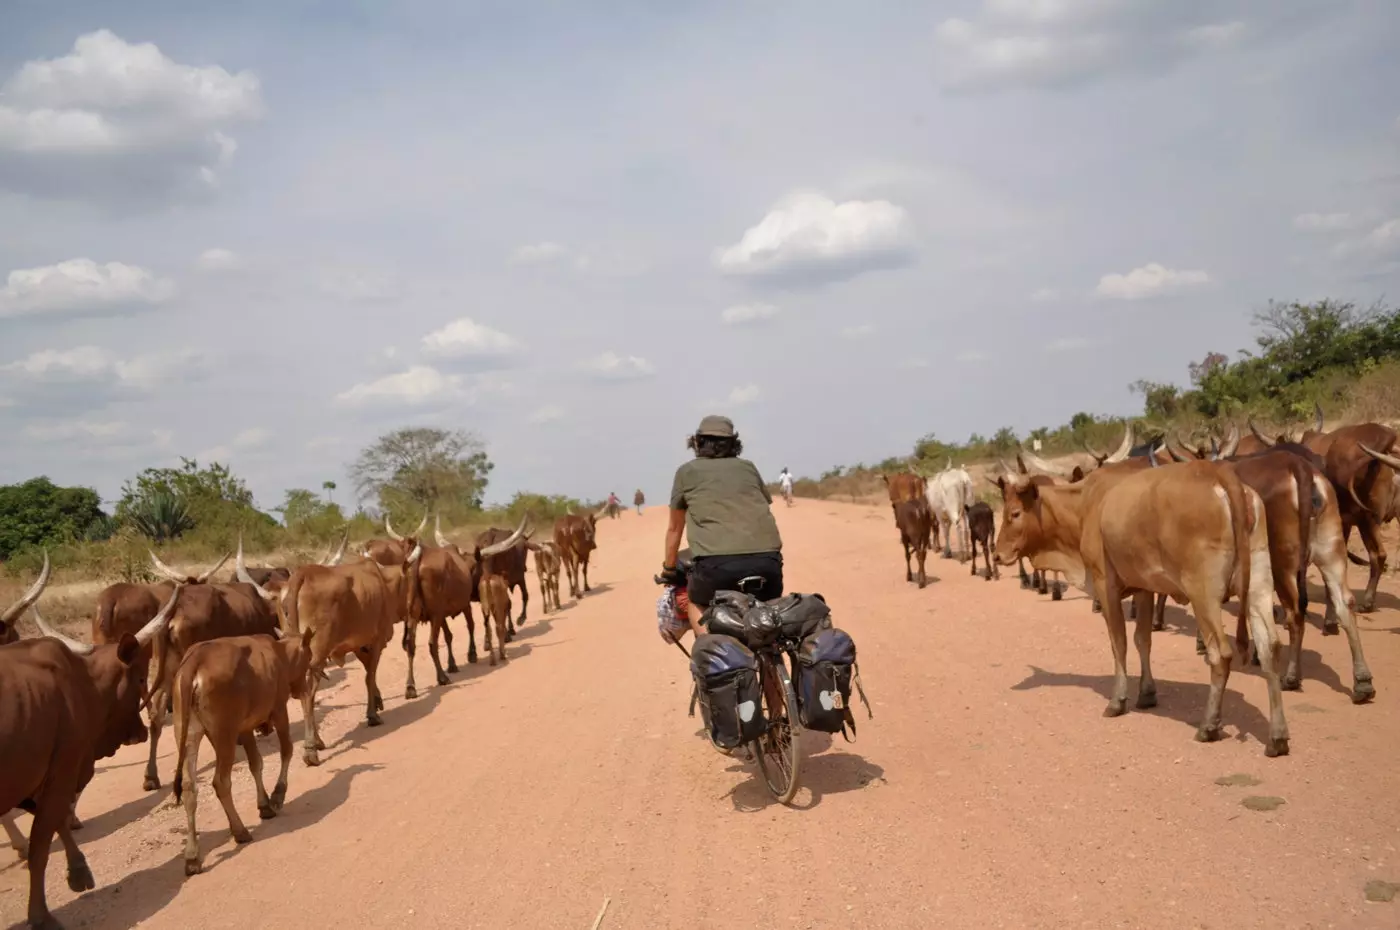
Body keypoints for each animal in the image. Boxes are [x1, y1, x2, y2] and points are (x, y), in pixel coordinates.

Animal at [1, 563, 179, 930]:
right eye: (139, 679)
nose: (139, 732)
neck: (81, 684)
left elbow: (53, 824)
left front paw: (78, 870)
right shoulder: (62, 767)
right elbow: (42, 843)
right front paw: (42, 915)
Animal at [170, 624, 315, 879]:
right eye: (309, 656)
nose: (301, 689)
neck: (279, 654)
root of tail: (193, 662)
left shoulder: (245, 728)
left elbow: (256, 763)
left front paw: (264, 805)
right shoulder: (278, 709)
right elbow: (286, 750)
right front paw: (277, 795)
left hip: (188, 734)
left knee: (189, 787)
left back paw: (192, 857)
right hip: (225, 734)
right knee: (220, 782)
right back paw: (239, 831)